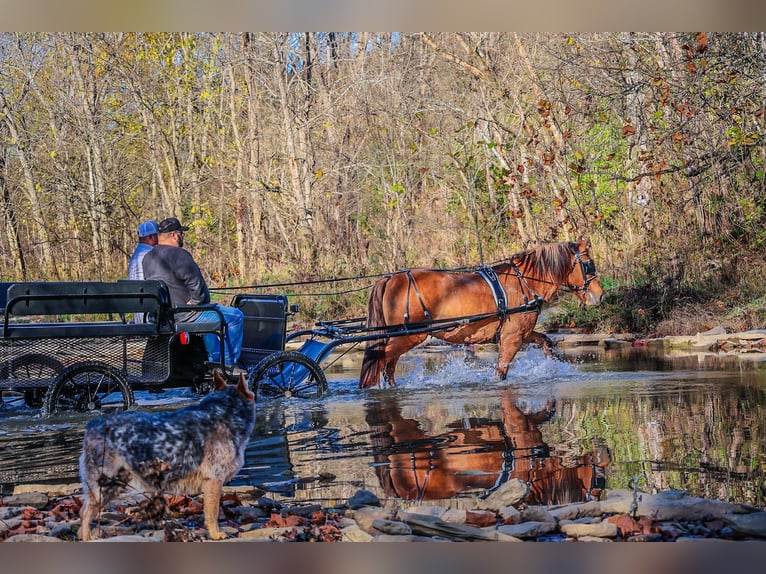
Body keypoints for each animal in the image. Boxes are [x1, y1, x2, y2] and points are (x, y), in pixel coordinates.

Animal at [359, 237, 603, 388]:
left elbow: (545, 341)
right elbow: (500, 373)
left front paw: (550, 366)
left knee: (388, 368)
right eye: (588, 264)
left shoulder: (520, 333)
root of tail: (391, 278)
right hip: (409, 336)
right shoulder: (512, 338)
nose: (600, 295)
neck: (524, 282)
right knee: (378, 362)